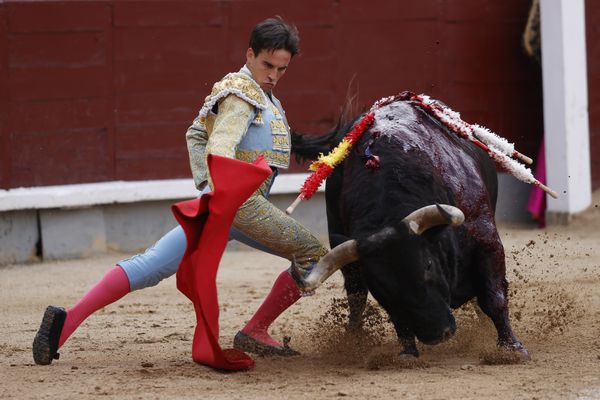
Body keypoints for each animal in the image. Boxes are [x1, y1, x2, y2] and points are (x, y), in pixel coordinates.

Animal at [290, 94, 528, 360]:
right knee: (356, 299)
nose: (437, 334)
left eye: (428, 264)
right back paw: (353, 338)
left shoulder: (487, 241)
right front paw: (407, 353)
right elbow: (394, 315)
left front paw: (512, 348)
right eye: (380, 284)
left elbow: (493, 297)